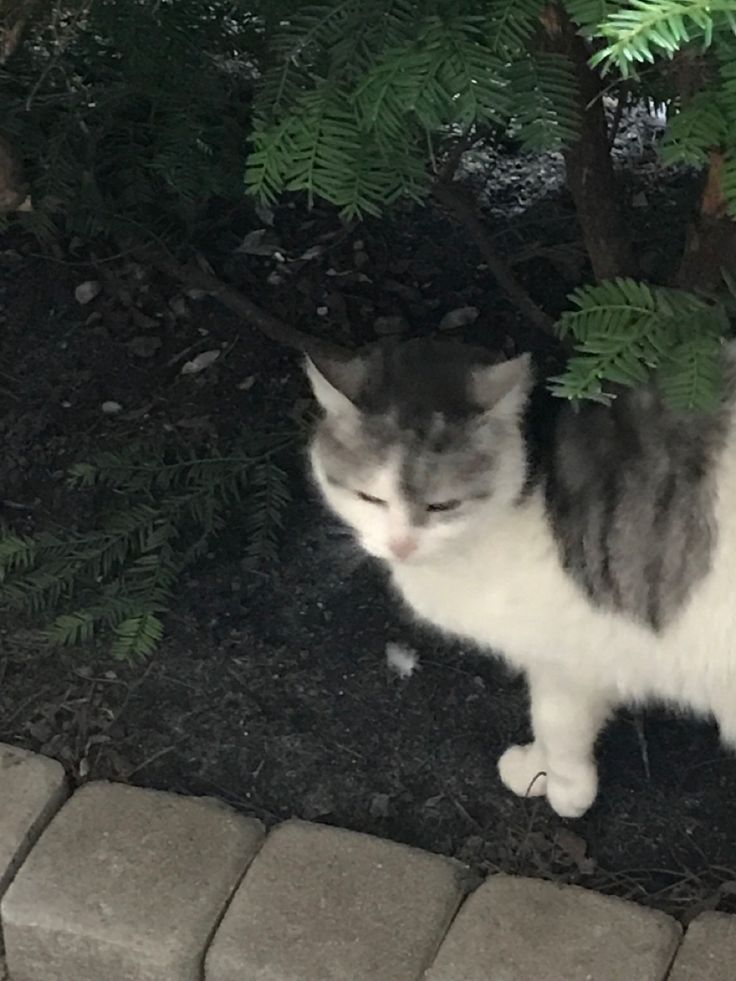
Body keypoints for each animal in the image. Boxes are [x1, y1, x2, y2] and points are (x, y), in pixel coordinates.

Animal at [304, 338, 736, 820]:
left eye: (443, 505)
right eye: (370, 498)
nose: (402, 545)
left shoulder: (571, 656)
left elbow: (554, 722)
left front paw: (558, 784)